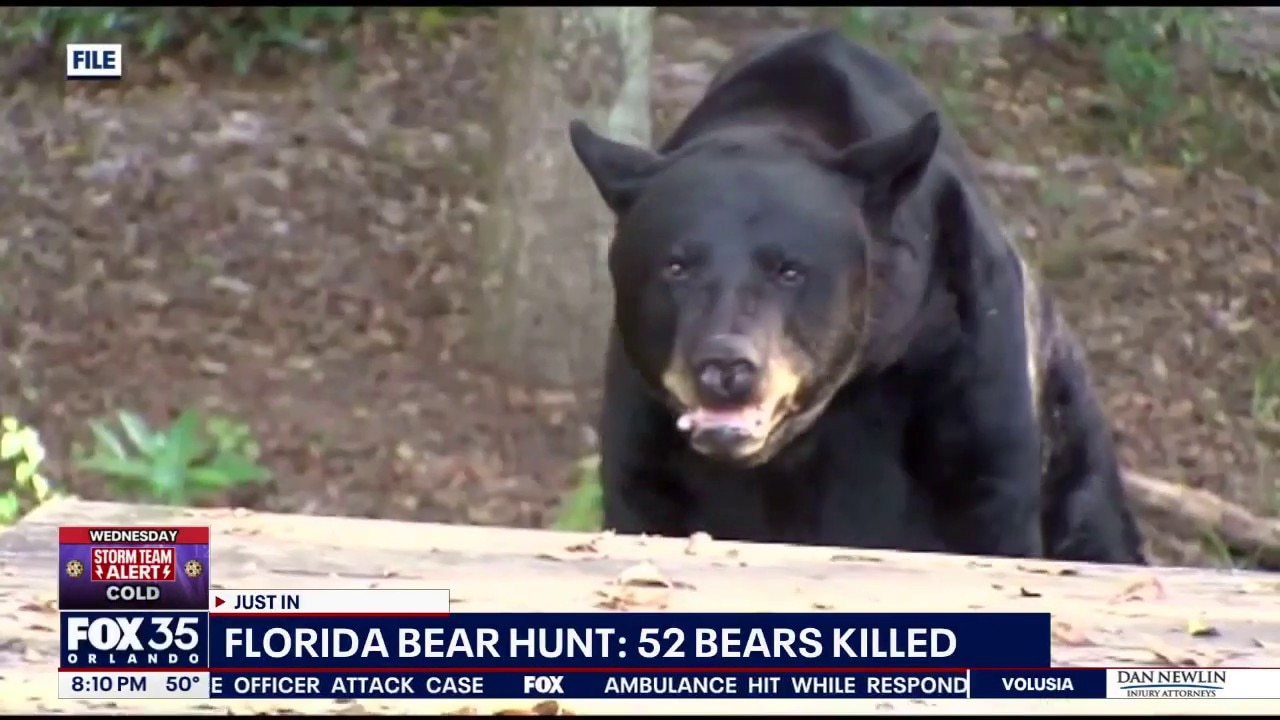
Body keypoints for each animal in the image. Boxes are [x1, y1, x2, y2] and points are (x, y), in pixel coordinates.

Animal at [568, 29, 1145, 564]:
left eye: (790, 270)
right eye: (676, 266)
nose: (725, 367)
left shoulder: (963, 382)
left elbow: (987, 517)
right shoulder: (649, 447)